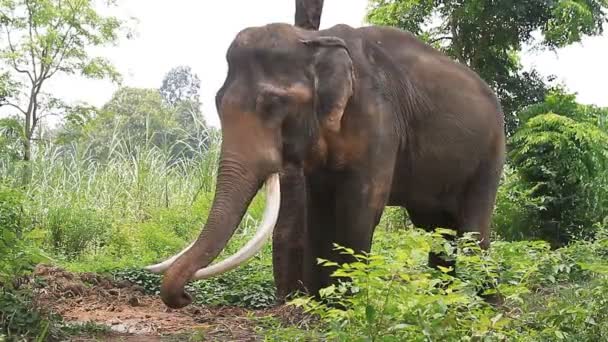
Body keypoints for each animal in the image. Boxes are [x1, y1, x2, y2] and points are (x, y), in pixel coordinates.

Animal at [145, 22, 506, 308]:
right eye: (218, 103)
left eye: (273, 104)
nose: (185, 297)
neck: (314, 38)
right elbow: (317, 209)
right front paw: (319, 306)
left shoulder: (379, 120)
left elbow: (360, 207)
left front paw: (349, 307)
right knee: (437, 229)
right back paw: (446, 299)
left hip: (490, 152)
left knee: (472, 230)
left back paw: (485, 305)